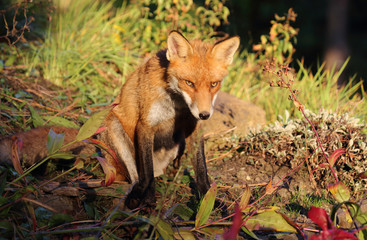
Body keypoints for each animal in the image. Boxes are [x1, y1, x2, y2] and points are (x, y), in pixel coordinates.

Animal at [0, 31, 242, 209]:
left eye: (214, 84)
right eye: (189, 83)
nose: (205, 114)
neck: (177, 108)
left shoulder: (193, 130)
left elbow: (202, 172)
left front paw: (210, 202)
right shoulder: (145, 126)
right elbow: (147, 175)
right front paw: (149, 200)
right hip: (113, 127)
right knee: (132, 179)